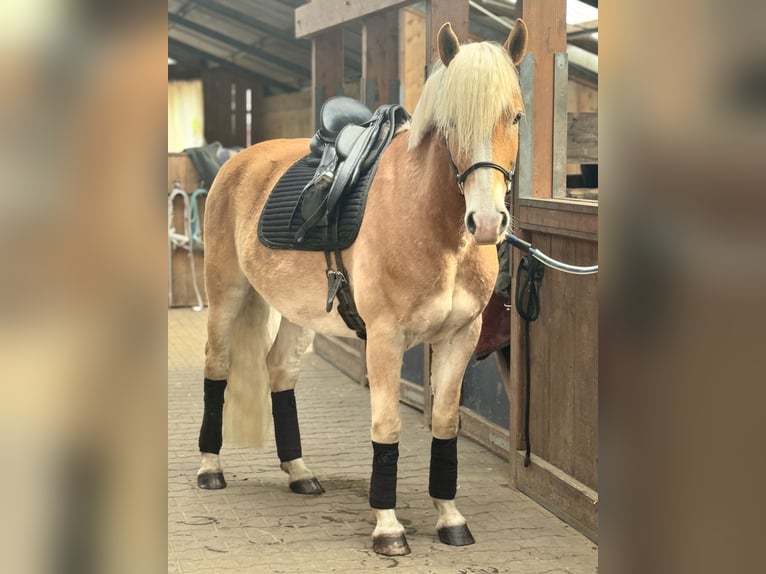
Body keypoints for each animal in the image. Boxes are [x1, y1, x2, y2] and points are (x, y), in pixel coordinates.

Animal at [195, 20, 528, 557]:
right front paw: (388, 527)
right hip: (226, 295)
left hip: (300, 313)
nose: (485, 222)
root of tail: (239, 160)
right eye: (450, 123)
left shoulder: (460, 337)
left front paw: (450, 519)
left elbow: (445, 423)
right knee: (217, 367)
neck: (434, 225)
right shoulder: (386, 339)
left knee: (280, 370)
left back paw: (299, 473)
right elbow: (387, 425)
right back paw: (210, 469)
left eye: (515, 116)